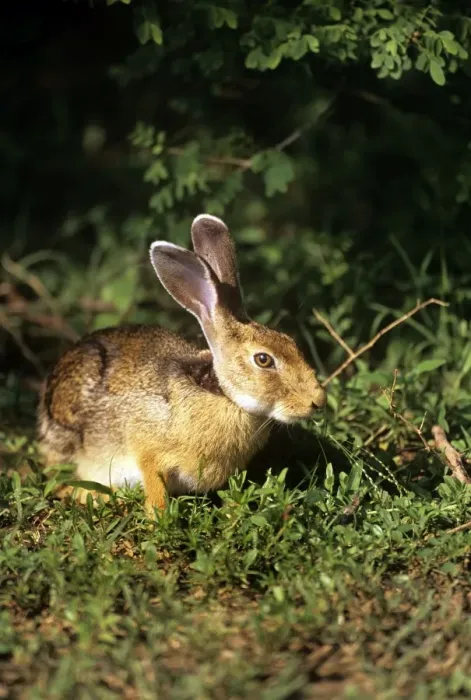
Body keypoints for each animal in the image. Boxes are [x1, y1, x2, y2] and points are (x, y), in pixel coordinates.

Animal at [37, 214, 327, 515]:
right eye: (263, 359)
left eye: (290, 342)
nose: (318, 401)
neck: (223, 395)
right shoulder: (148, 452)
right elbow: (155, 486)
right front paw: (157, 518)